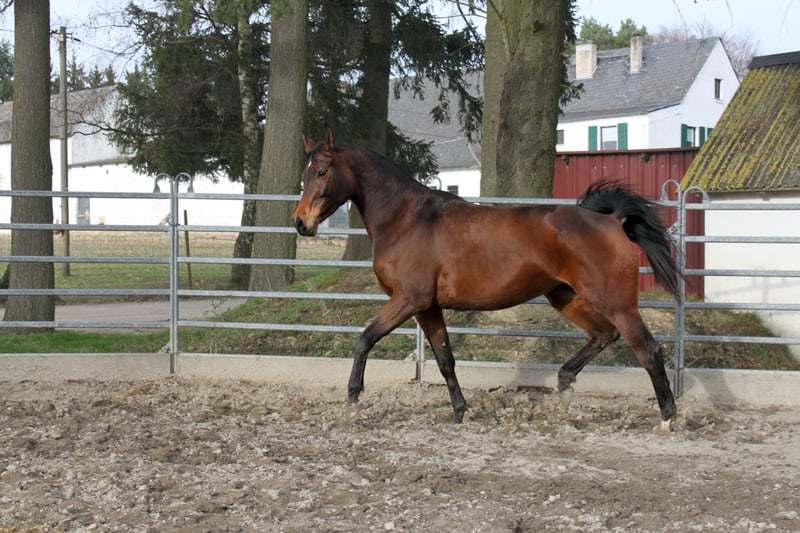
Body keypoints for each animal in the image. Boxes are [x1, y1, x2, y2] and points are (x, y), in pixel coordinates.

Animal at [292, 127, 680, 430]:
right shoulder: (428, 308)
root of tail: (611, 220)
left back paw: (667, 417)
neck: (407, 218)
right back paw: (565, 385)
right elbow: (445, 360)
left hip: (617, 303)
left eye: (322, 172)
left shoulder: (408, 300)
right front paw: (459, 412)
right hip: (565, 296)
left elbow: (364, 340)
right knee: (603, 334)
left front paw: (353, 400)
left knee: (647, 349)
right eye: (305, 175)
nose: (300, 223)